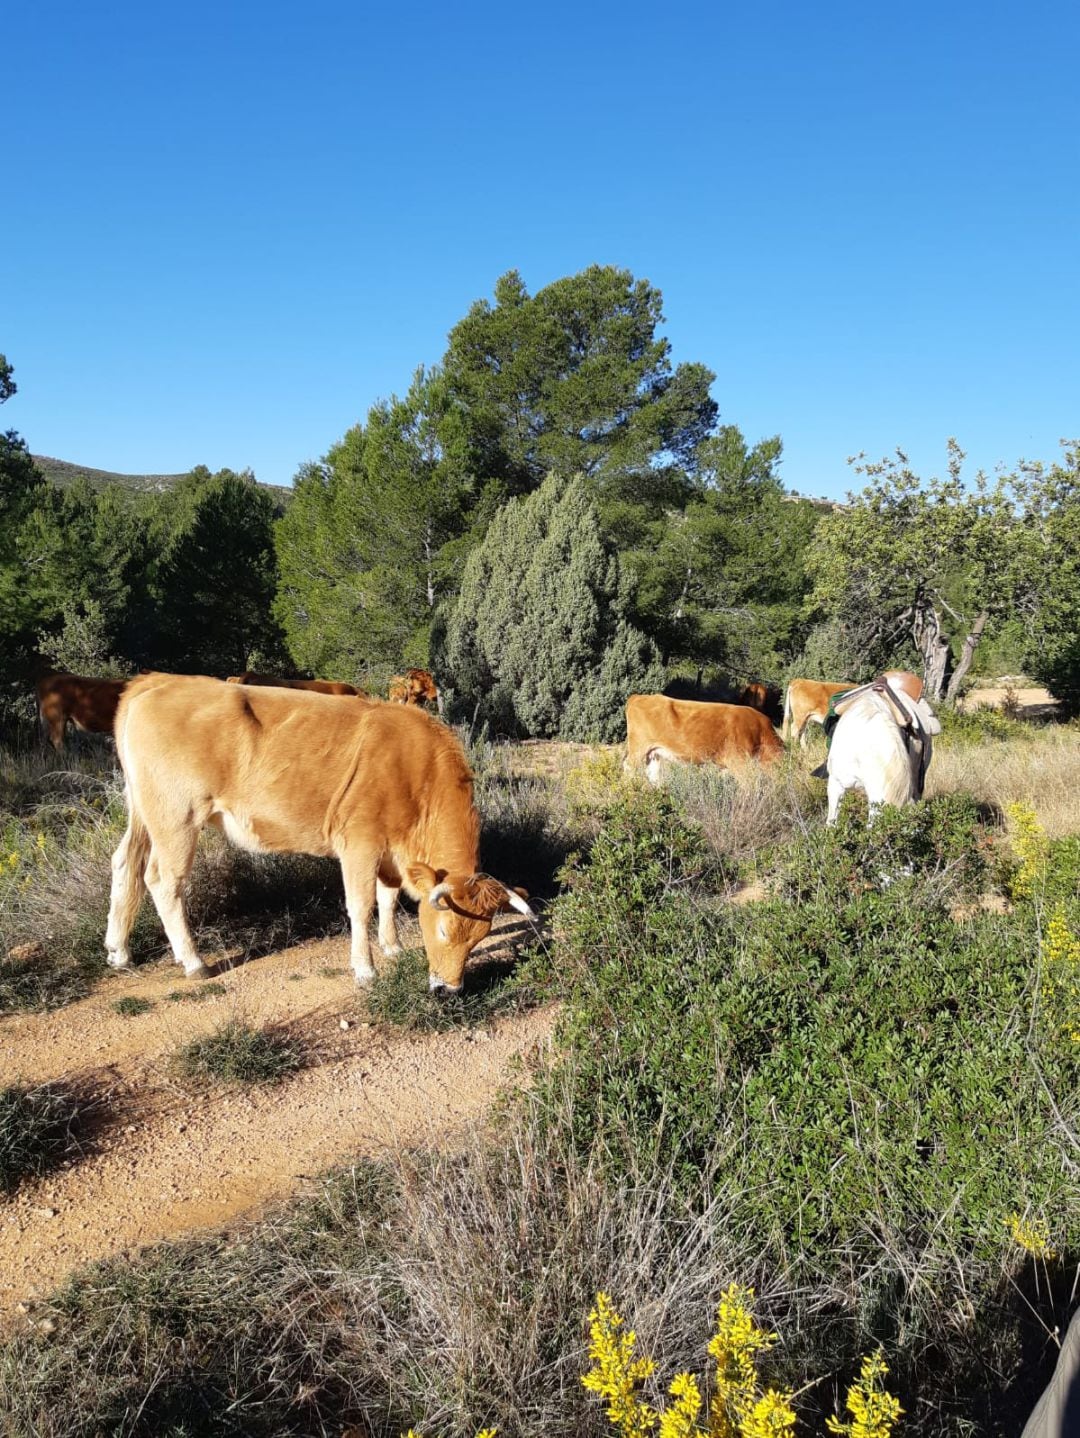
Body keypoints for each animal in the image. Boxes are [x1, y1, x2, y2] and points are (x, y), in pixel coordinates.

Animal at [103, 675, 534, 995]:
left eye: (479, 938)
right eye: (444, 930)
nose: (450, 988)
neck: (415, 771)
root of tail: (159, 681)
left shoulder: (390, 852)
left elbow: (389, 898)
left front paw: (392, 946)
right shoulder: (360, 842)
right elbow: (361, 905)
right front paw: (365, 970)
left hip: (143, 813)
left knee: (125, 864)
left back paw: (118, 952)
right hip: (177, 817)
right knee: (162, 880)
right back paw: (194, 962)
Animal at [624, 690, 788, 782]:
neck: (760, 732)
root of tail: (638, 697)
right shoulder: (739, 762)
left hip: (654, 753)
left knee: (652, 775)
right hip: (638, 749)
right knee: (628, 768)